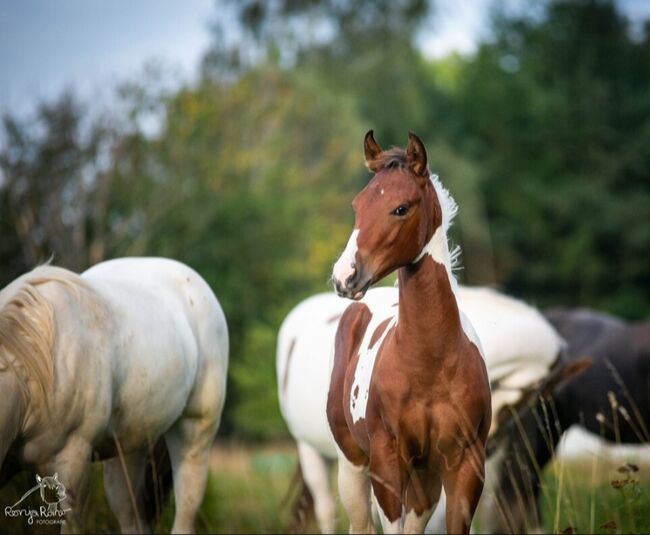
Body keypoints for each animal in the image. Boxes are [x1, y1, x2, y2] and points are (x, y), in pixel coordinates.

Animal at [326, 132, 488, 532]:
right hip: (353, 466)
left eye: (401, 208)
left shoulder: (465, 465)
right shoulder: (387, 462)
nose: (344, 276)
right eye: (357, 205)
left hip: (424, 479)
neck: (430, 365)